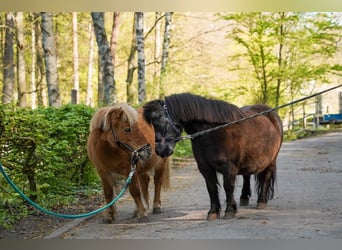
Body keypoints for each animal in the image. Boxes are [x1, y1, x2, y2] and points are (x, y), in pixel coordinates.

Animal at [143, 94, 282, 221]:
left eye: (161, 121)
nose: (160, 150)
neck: (213, 132)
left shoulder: (229, 167)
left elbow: (228, 187)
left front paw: (230, 211)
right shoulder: (205, 168)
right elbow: (211, 188)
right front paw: (213, 213)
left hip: (271, 161)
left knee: (266, 177)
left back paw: (261, 201)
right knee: (246, 176)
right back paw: (244, 197)